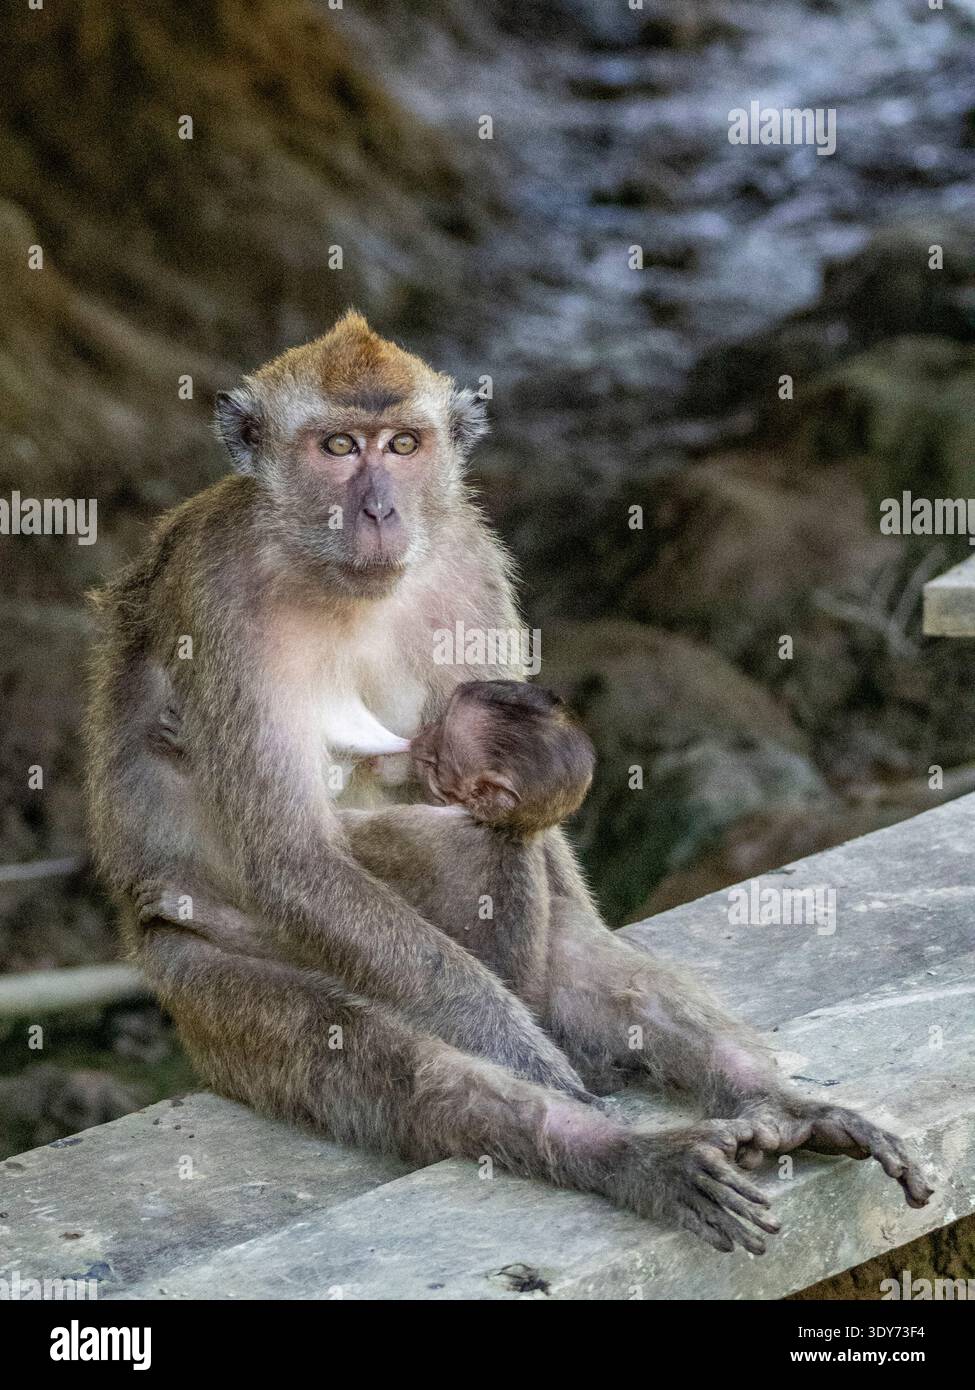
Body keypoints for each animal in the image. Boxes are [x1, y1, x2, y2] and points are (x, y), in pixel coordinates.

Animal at [86, 311, 931, 1255]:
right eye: (338, 446)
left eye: (403, 444)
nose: (378, 508)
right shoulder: (219, 598)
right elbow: (293, 855)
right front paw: (545, 1076)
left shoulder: (466, 562)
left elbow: (549, 876)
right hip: (204, 975)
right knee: (388, 1050)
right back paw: (619, 1153)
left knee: (555, 922)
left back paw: (770, 1101)